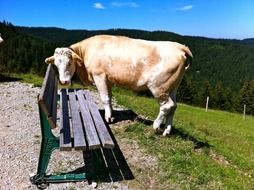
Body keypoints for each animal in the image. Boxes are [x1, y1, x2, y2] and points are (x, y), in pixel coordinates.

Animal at [45, 35, 192, 136]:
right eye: (56, 64)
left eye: (69, 63)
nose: (63, 82)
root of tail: (179, 47)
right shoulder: (108, 79)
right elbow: (109, 97)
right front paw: (111, 114)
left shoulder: (99, 76)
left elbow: (105, 98)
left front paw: (108, 118)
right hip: (172, 88)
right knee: (174, 106)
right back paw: (167, 130)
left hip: (159, 87)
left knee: (167, 106)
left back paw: (156, 126)